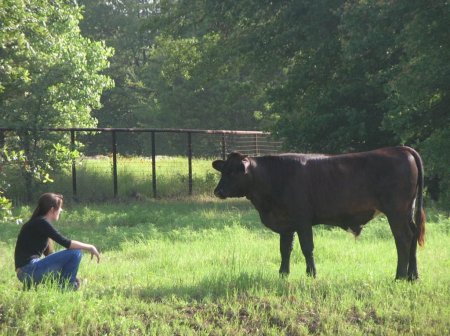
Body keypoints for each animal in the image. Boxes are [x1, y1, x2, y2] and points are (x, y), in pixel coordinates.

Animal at [214, 146, 426, 280]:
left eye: (233, 172)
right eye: (223, 171)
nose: (218, 191)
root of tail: (400, 149)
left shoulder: (303, 220)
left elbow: (307, 248)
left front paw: (311, 273)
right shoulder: (286, 224)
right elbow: (285, 249)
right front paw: (283, 274)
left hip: (396, 211)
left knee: (403, 239)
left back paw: (399, 276)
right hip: (407, 211)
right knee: (414, 235)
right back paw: (413, 276)